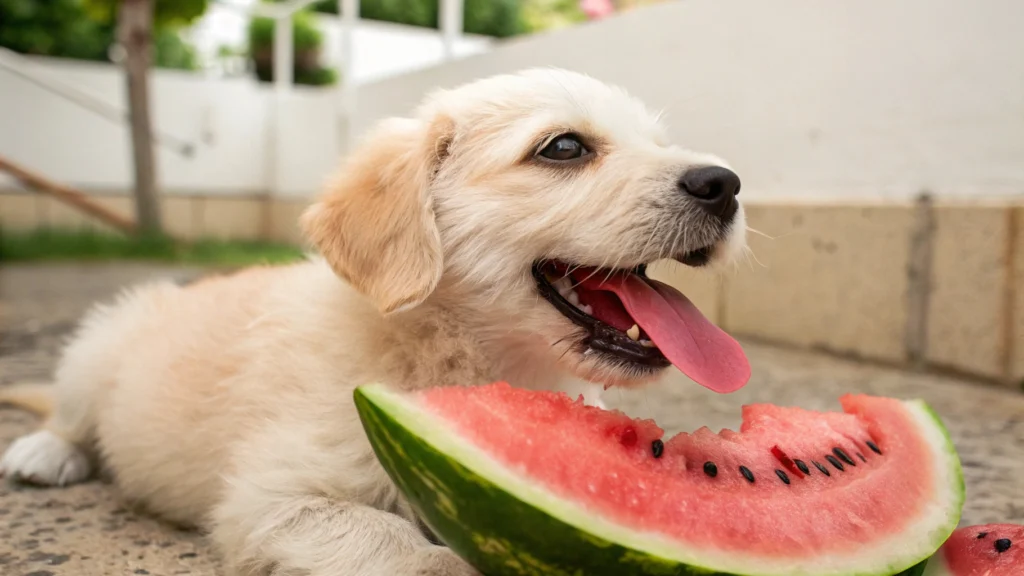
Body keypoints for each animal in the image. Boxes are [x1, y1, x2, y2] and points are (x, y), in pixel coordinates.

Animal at [2, 69, 753, 569]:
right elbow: (406, 546)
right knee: (68, 416)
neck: (440, 346)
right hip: (99, 341)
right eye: (563, 148)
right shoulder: (271, 500)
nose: (725, 184)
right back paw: (45, 453)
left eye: (661, 141)